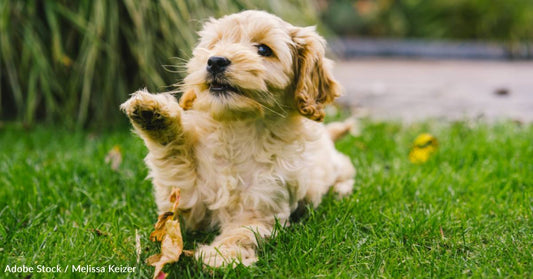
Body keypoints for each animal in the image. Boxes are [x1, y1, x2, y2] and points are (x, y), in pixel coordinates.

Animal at [120, 10, 354, 270]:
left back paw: (341, 189)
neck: (237, 127)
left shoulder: (262, 206)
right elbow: (174, 159)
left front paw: (221, 254)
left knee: (347, 168)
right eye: (215, 44)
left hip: (334, 165)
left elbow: (243, 232)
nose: (215, 61)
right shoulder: (188, 201)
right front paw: (153, 114)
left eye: (263, 49)